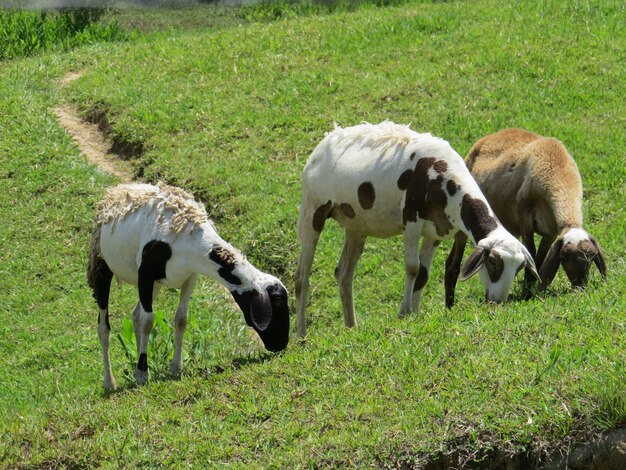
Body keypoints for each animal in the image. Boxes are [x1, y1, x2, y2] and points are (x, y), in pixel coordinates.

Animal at [86, 183, 288, 390]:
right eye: (278, 302)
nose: (281, 344)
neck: (192, 238)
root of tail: (117, 190)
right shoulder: (146, 273)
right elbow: (148, 321)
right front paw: (142, 374)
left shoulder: (190, 277)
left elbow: (181, 319)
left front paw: (175, 367)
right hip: (101, 266)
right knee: (104, 326)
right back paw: (109, 382)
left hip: (154, 285)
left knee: (135, 315)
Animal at [292, 119, 536, 336]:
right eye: (493, 261)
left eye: (519, 268)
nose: (497, 302)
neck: (448, 183)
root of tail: (326, 141)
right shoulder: (411, 222)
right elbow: (412, 268)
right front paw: (404, 313)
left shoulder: (434, 232)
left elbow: (424, 275)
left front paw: (415, 315)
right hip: (313, 210)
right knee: (302, 276)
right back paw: (300, 334)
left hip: (355, 224)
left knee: (343, 274)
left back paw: (351, 327)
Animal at [442, 126, 608, 306]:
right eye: (563, 257)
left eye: (592, 256)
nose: (580, 287)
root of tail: (490, 137)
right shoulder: (525, 221)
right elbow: (531, 256)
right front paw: (526, 296)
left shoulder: (550, 233)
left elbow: (539, 261)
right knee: (453, 263)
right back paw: (450, 305)